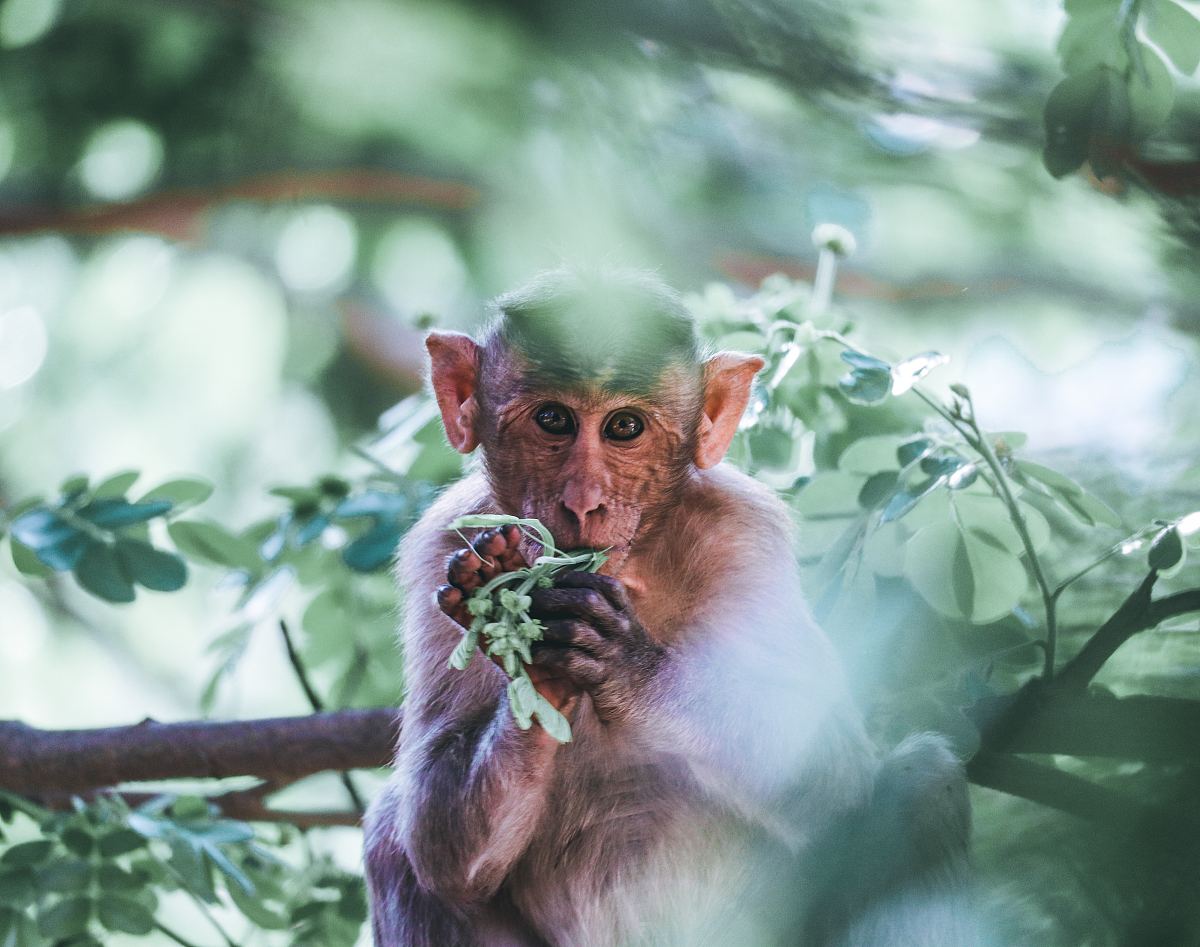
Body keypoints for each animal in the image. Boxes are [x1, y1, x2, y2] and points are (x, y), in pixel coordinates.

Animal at [362, 267, 974, 945]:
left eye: (625, 427)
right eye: (552, 419)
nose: (584, 501)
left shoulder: (743, 537)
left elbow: (831, 776)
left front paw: (620, 662)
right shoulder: (439, 548)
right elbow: (436, 842)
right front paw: (531, 649)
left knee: (923, 780)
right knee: (393, 842)